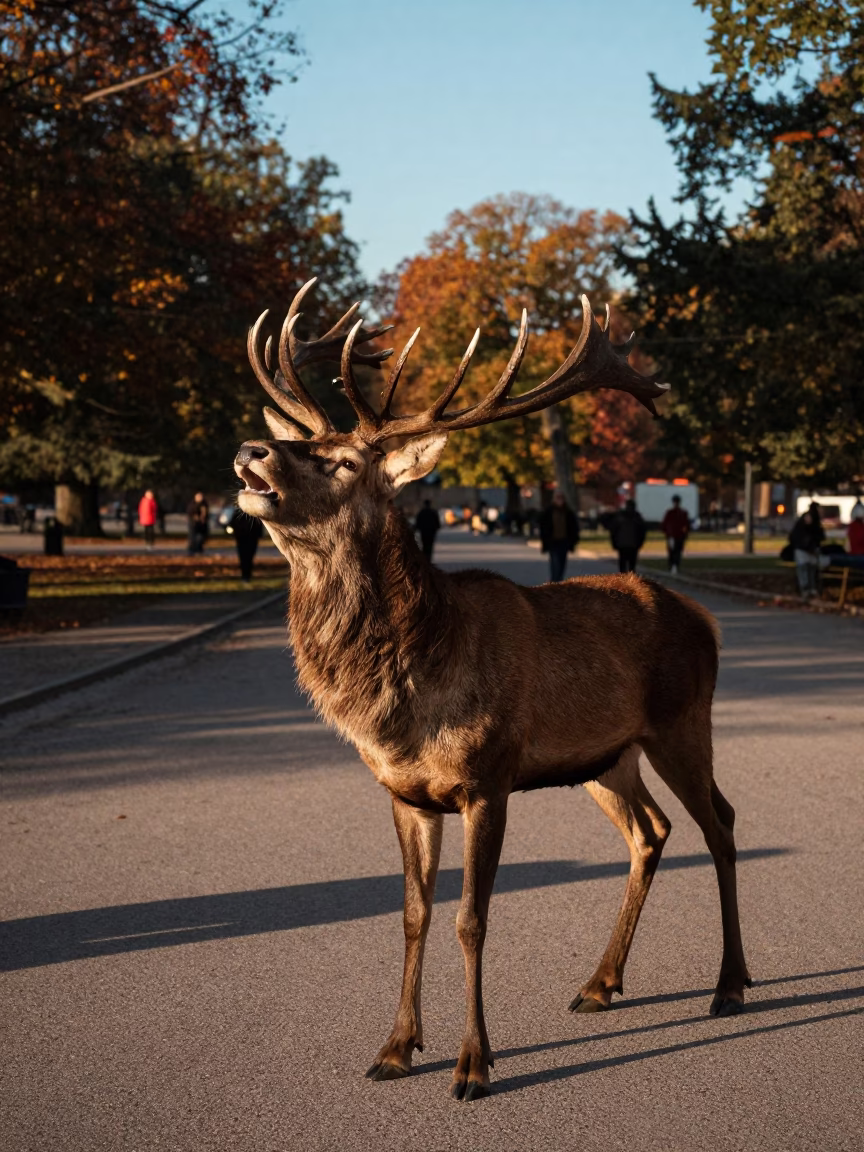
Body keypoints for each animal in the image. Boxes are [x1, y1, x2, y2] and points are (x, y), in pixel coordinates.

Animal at [233, 279, 750, 1101]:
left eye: (343, 461)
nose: (253, 449)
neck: (403, 696)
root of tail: (703, 617)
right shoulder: (405, 791)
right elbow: (414, 913)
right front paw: (395, 1048)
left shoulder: (488, 778)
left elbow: (471, 919)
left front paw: (474, 1064)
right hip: (606, 758)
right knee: (651, 830)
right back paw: (600, 983)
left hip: (683, 722)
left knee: (721, 824)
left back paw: (730, 984)